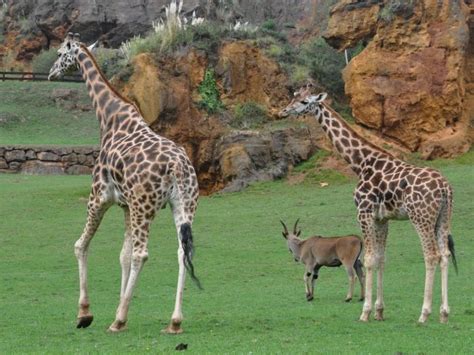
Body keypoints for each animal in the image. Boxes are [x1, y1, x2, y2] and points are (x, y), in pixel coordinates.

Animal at [49, 33, 201, 334]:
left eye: (60, 54)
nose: (51, 73)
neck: (109, 119)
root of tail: (178, 167)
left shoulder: (100, 196)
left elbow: (81, 245)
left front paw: (86, 313)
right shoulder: (126, 205)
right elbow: (123, 255)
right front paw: (121, 307)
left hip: (146, 205)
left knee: (143, 254)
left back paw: (118, 321)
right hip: (184, 204)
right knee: (182, 250)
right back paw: (174, 321)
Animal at [280, 86, 458, 326]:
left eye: (304, 101)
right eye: (293, 97)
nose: (284, 110)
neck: (361, 163)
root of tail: (445, 189)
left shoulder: (363, 212)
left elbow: (368, 259)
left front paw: (365, 312)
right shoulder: (382, 218)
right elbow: (381, 258)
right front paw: (379, 311)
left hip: (421, 217)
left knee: (431, 255)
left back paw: (424, 313)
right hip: (443, 217)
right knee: (445, 254)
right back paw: (444, 313)